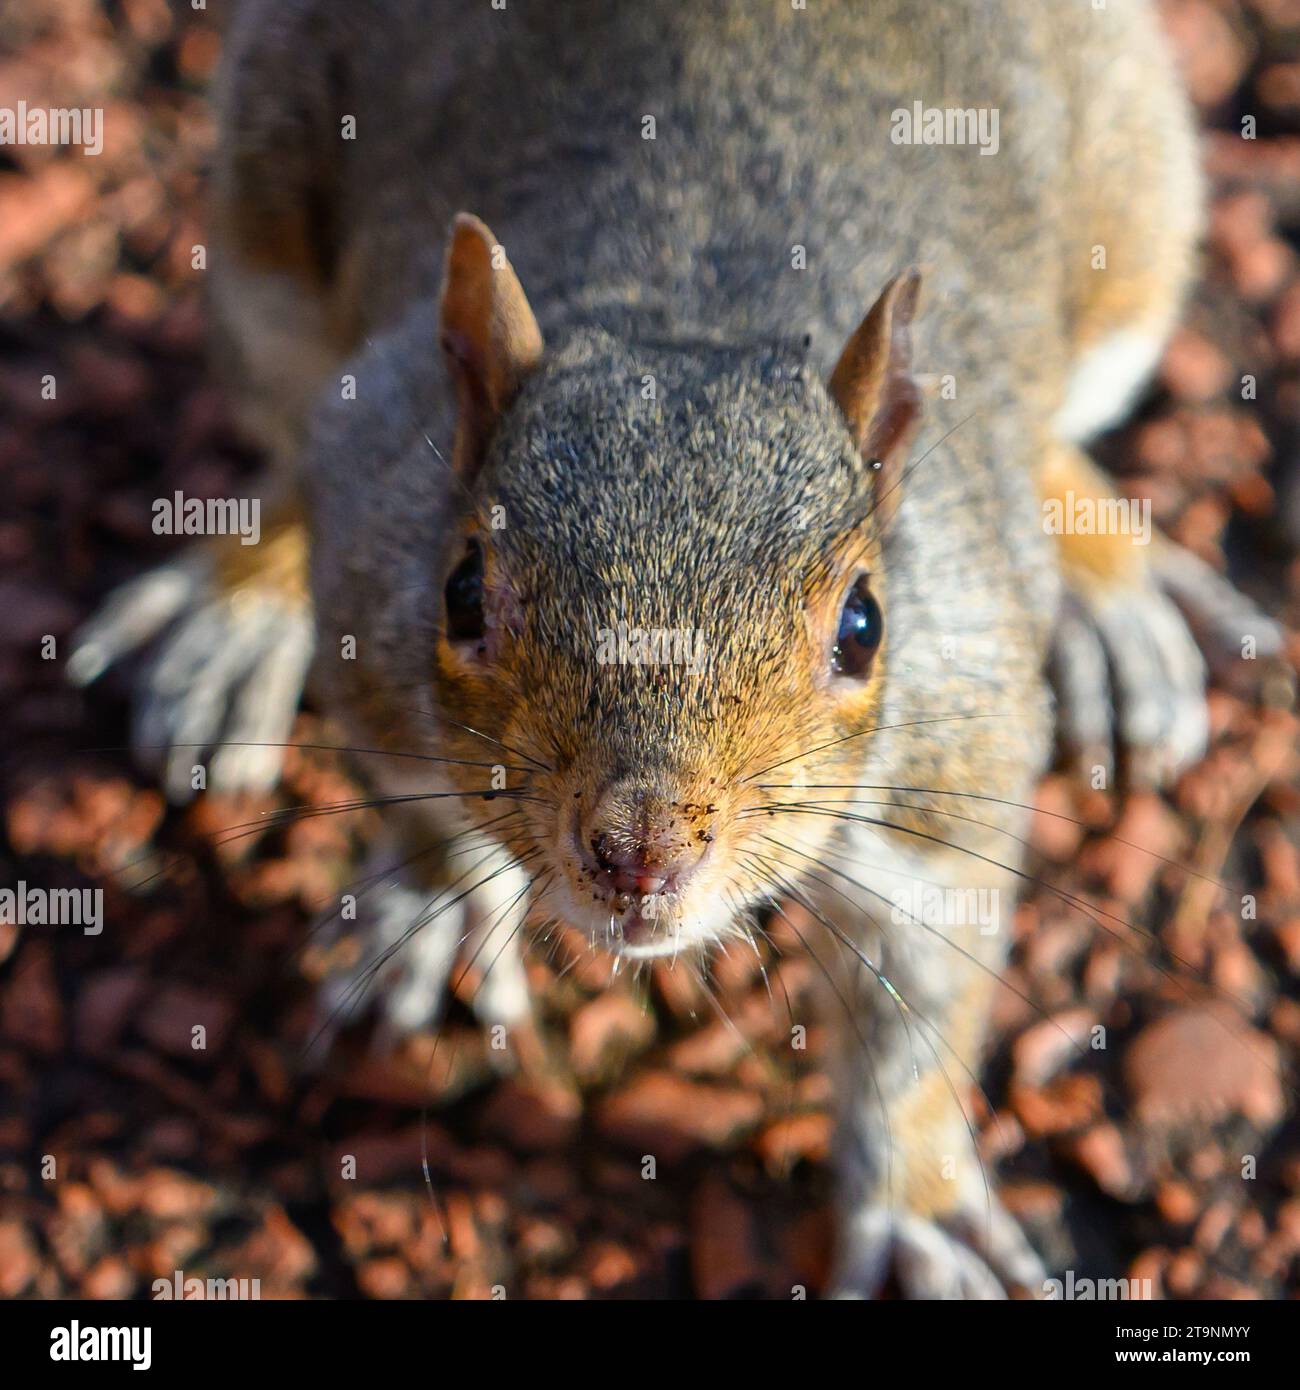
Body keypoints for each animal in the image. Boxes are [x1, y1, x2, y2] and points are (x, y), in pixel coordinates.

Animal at [68, 2, 1279, 1301]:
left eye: (864, 626)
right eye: (460, 596)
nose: (638, 850)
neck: (689, 307)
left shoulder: (951, 760)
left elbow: (922, 993)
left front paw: (919, 1205)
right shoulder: (373, 578)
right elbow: (416, 794)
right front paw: (443, 899)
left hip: (1134, 225)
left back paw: (1110, 595)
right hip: (267, 224)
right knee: (286, 438)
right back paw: (236, 614)